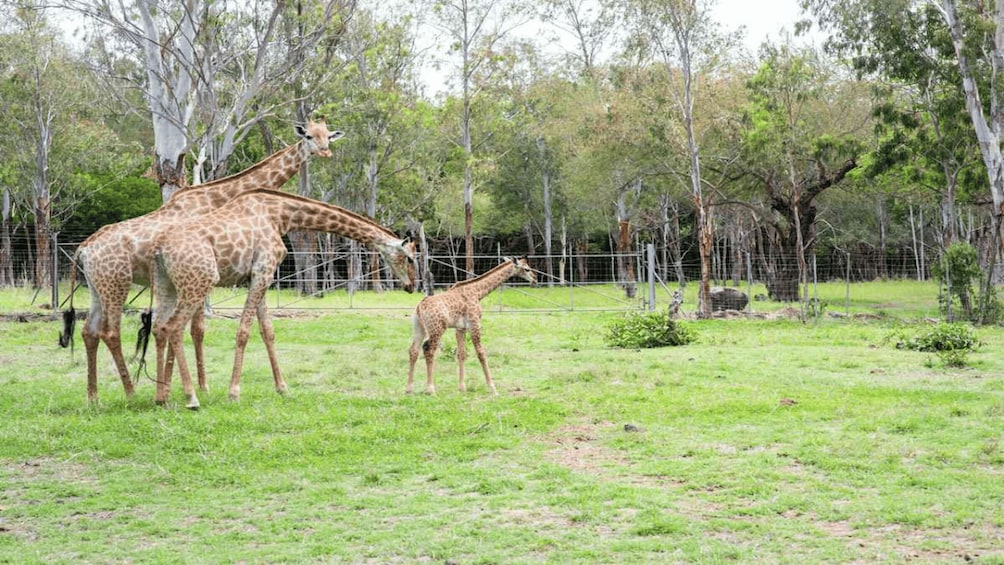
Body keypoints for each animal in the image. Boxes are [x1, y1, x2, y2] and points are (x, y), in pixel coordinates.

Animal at [63, 118, 345, 401]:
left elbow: (191, 329)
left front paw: (186, 386)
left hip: (96, 287)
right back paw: (130, 393)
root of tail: (83, 249)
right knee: (110, 332)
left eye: (327, 136)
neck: (216, 198)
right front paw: (198, 387)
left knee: (89, 331)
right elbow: (194, 329)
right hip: (117, 284)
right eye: (308, 136)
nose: (325, 152)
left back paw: (93, 396)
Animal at [148, 191, 415, 411]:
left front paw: (282, 387)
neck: (279, 215)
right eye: (410, 258)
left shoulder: (260, 275)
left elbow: (268, 331)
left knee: (159, 327)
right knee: (174, 327)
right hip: (200, 282)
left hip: (167, 284)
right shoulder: (263, 270)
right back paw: (191, 397)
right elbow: (244, 331)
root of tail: (159, 250)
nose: (412, 286)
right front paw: (234, 393)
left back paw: (162, 396)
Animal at [405, 256, 538, 395]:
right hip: (437, 328)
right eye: (527, 269)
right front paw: (492, 388)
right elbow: (481, 353)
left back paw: (409, 388)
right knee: (429, 350)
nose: (535, 279)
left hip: (419, 327)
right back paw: (430, 389)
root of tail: (420, 307)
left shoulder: (460, 328)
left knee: (413, 350)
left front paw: (462, 387)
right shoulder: (475, 324)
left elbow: (462, 354)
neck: (477, 292)